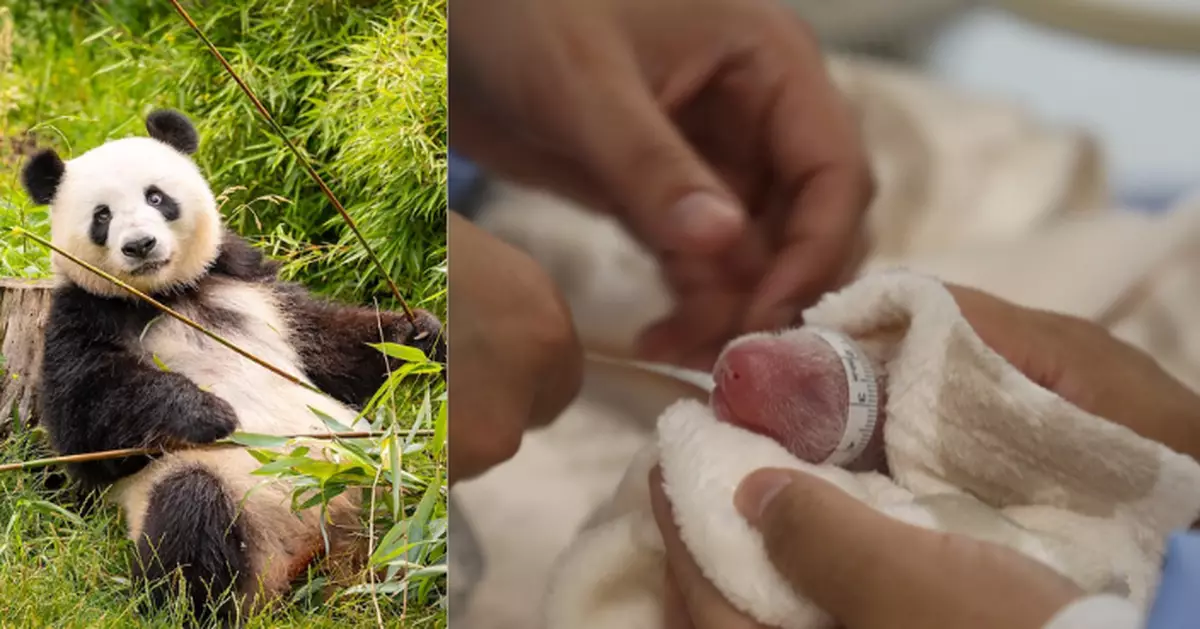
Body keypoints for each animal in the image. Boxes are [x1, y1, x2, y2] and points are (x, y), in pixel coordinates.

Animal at [18, 109, 448, 624]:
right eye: (102, 216)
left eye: (156, 197)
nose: (140, 245)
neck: (168, 294)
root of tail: (316, 560)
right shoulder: (82, 314)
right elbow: (84, 425)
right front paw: (209, 412)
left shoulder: (248, 279)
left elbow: (329, 344)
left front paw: (422, 334)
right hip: (242, 517)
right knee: (190, 515)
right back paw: (196, 611)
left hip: (383, 490)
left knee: (420, 522)